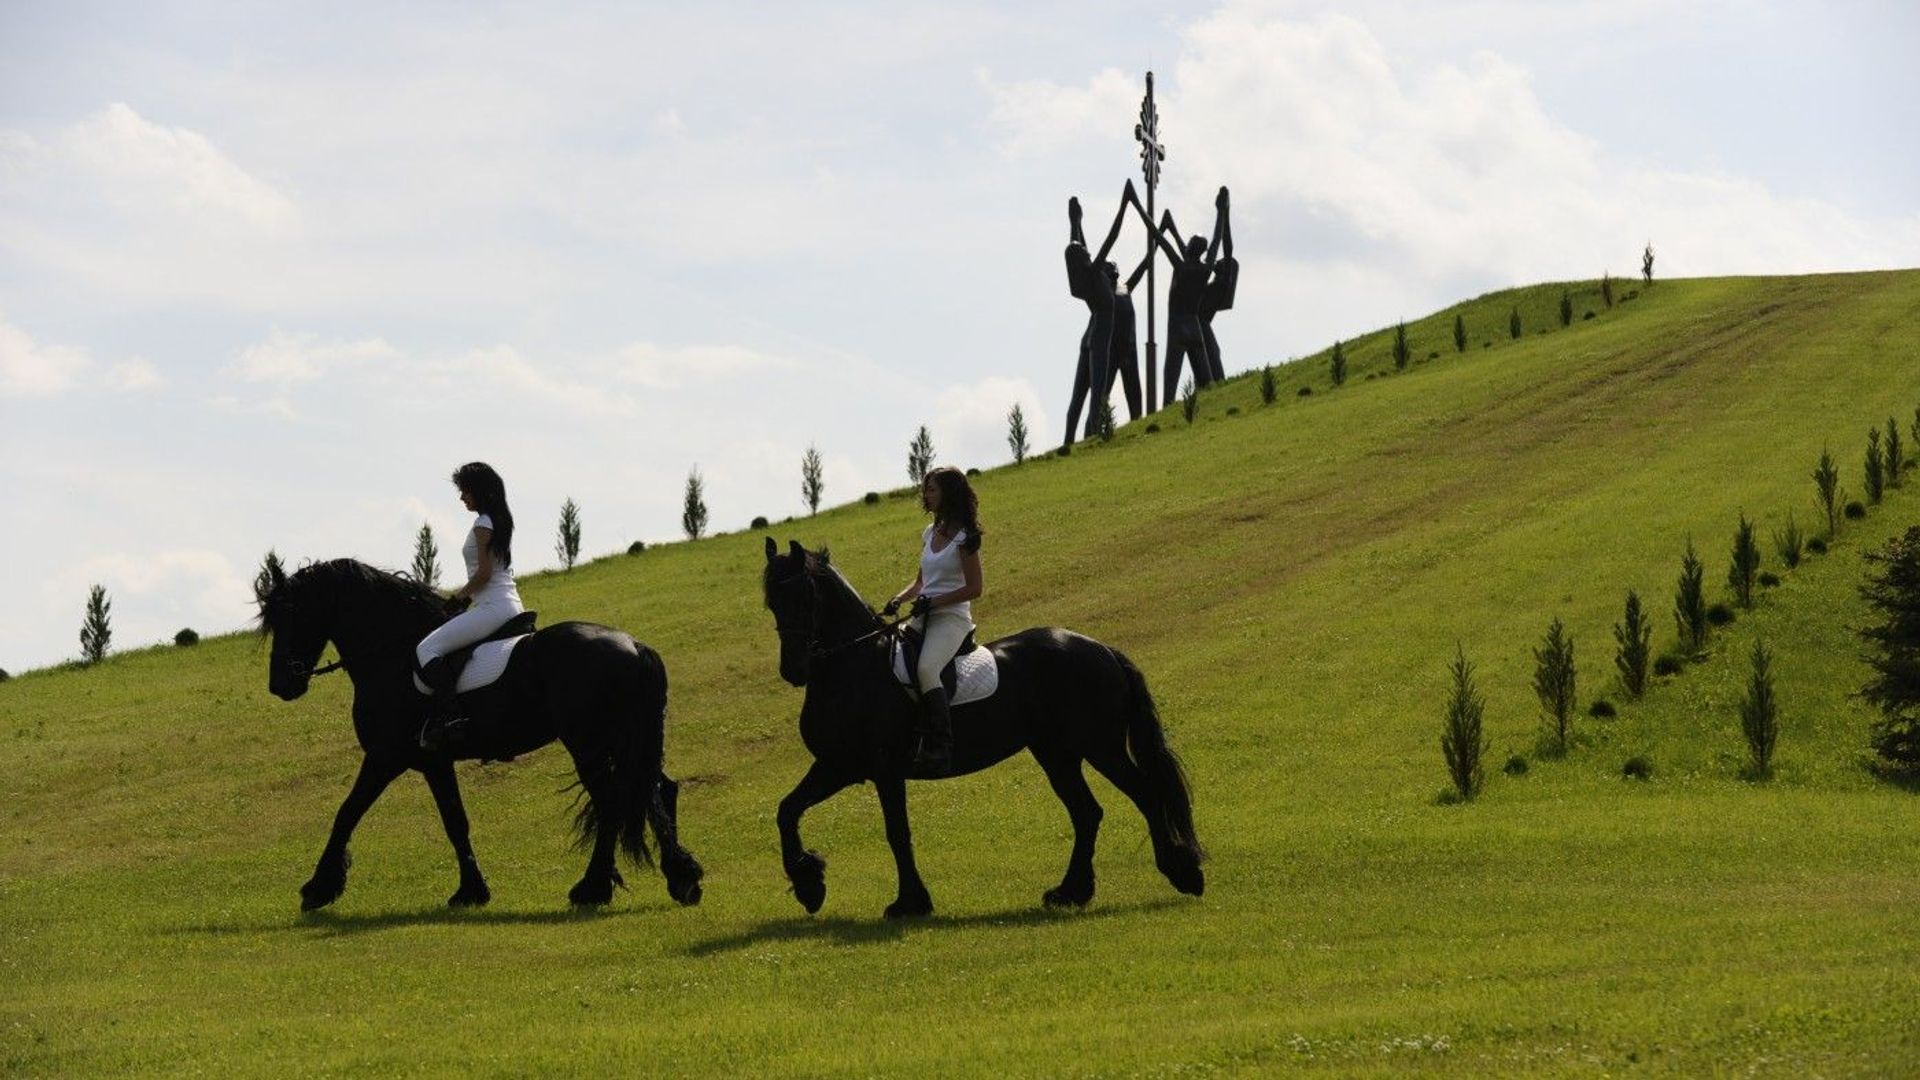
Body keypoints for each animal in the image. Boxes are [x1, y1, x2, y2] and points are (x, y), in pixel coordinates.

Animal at [255, 553, 702, 907]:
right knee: (657, 790)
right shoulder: (433, 762)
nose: (281, 685)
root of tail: (635, 646)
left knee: (613, 803)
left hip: (590, 746)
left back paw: (591, 889)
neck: (392, 654)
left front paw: (318, 889)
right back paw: (682, 879)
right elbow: (455, 821)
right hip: (624, 743)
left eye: (292, 615)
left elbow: (347, 812)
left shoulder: (386, 757)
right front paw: (471, 891)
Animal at [760, 534, 1198, 910]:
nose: (794, 670)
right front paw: (810, 886)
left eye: (805, 596)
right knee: (1086, 812)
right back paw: (1071, 892)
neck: (853, 665)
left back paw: (1182, 873)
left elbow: (897, 833)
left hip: (1099, 746)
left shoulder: (884, 769)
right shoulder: (838, 765)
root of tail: (1102, 649)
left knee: (1145, 794)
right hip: (1057, 753)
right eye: (771, 602)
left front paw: (909, 904)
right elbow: (787, 810)